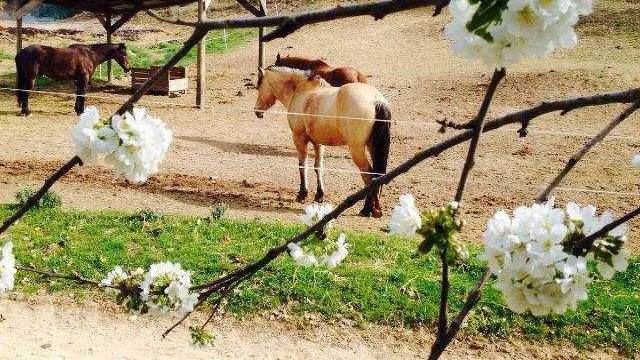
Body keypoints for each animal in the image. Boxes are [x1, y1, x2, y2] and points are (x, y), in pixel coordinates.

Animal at [255, 66, 390, 218]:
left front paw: (302, 194)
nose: (257, 111)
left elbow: (303, 165)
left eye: (259, 86)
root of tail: (376, 100)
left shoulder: (299, 138)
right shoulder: (318, 143)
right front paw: (319, 194)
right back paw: (376, 208)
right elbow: (318, 167)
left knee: (368, 176)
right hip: (372, 147)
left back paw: (366, 209)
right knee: (377, 174)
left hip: (357, 150)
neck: (302, 92)